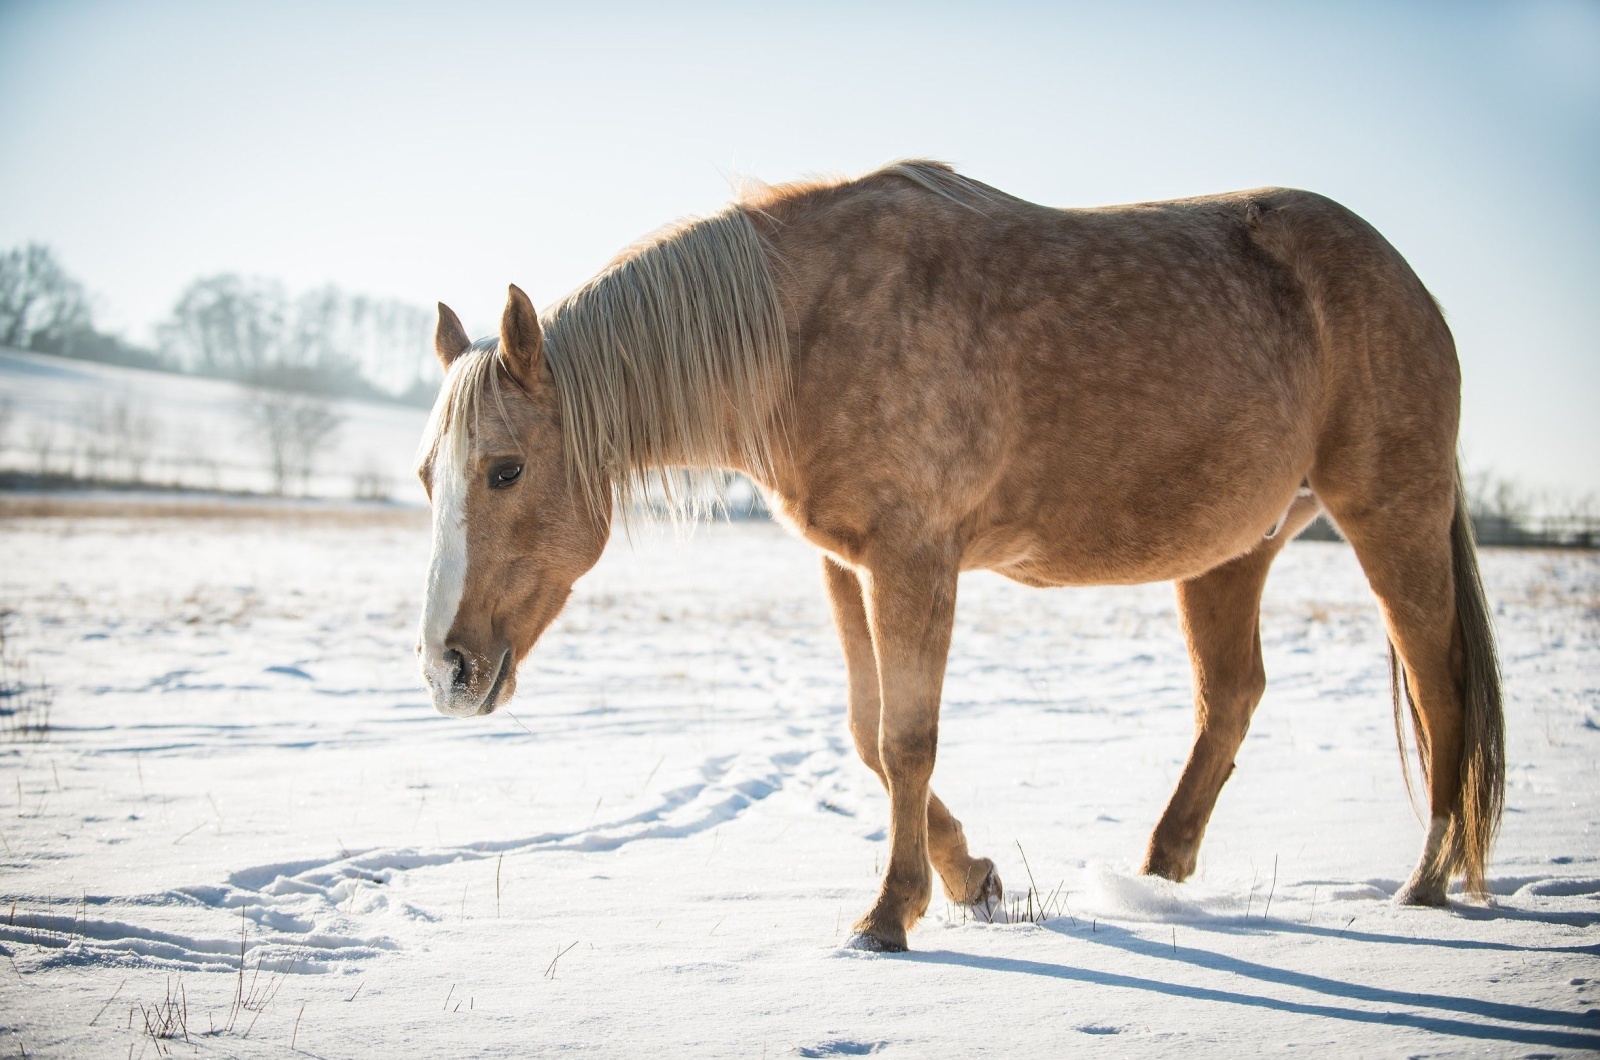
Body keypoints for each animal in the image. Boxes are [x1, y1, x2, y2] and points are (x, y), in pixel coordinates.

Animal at [409, 160, 1497, 954]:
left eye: (504, 470)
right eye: (427, 475)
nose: (446, 671)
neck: (805, 331)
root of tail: (1410, 283)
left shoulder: (914, 559)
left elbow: (907, 739)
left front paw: (889, 914)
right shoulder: (846, 564)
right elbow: (866, 732)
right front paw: (972, 878)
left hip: (1389, 516)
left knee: (1438, 685)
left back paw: (1427, 879)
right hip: (1234, 550)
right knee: (1229, 695)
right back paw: (1155, 875)